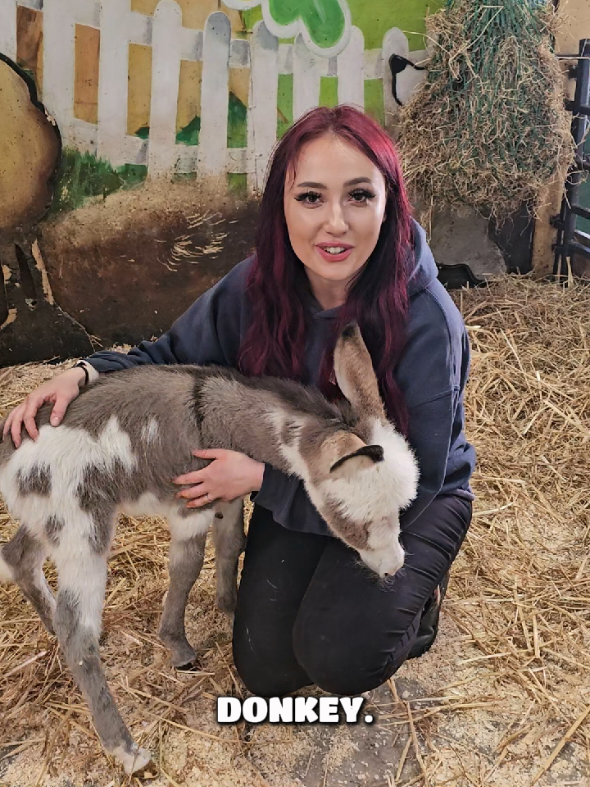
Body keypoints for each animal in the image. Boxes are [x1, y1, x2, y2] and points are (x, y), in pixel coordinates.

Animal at [0, 323, 418, 775]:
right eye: (353, 519)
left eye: (402, 508)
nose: (394, 568)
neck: (215, 416)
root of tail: (10, 457)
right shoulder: (192, 507)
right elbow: (187, 568)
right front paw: (177, 645)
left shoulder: (226, 493)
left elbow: (232, 544)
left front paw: (230, 607)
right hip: (82, 531)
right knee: (76, 632)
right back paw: (126, 751)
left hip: (50, 523)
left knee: (18, 558)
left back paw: (50, 625)